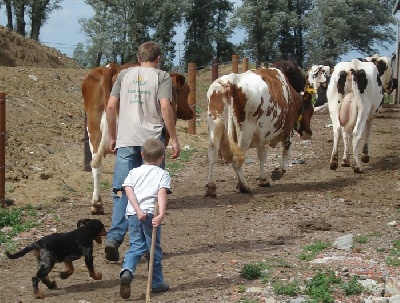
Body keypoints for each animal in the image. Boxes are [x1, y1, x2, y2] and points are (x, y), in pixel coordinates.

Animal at [81, 63, 192, 216]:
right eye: (187, 91)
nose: (191, 113)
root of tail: (111, 68)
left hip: (94, 132)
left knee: (97, 168)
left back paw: (97, 204)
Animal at [205, 67, 314, 198]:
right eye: (311, 111)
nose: (309, 132)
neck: (290, 96)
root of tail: (230, 80)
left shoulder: (260, 135)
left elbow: (262, 156)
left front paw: (263, 179)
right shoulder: (288, 131)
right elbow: (286, 153)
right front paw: (278, 173)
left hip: (216, 125)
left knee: (213, 155)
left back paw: (211, 187)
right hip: (245, 133)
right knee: (237, 160)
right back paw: (244, 186)